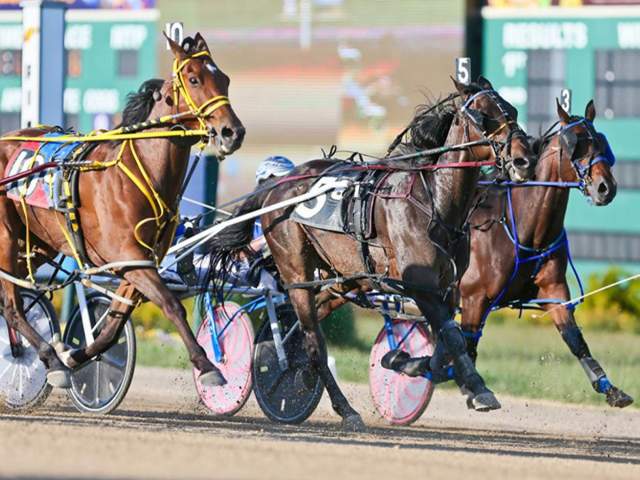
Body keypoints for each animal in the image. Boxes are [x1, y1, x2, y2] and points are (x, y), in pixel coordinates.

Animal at [0, 32, 245, 386]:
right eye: (194, 79)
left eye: (224, 79)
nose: (233, 132)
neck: (139, 169)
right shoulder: (126, 256)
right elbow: (171, 305)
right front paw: (208, 366)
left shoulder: (136, 262)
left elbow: (114, 326)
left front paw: (77, 354)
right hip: (6, 236)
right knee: (11, 305)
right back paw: (49, 359)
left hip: (39, 244)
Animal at [209, 78, 536, 428]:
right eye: (481, 115)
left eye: (512, 110)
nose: (523, 160)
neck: (434, 202)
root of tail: (279, 186)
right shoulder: (419, 286)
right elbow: (452, 337)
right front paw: (478, 388)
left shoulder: (447, 288)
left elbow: (447, 342)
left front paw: (406, 361)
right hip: (296, 271)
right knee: (314, 341)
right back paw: (344, 408)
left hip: (344, 277)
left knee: (304, 319)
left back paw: (293, 364)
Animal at [460, 99, 636, 406]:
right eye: (576, 143)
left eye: (601, 142)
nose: (606, 188)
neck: (520, 226)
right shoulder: (473, 298)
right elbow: (466, 347)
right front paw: (473, 391)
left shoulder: (553, 291)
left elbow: (576, 340)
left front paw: (611, 390)